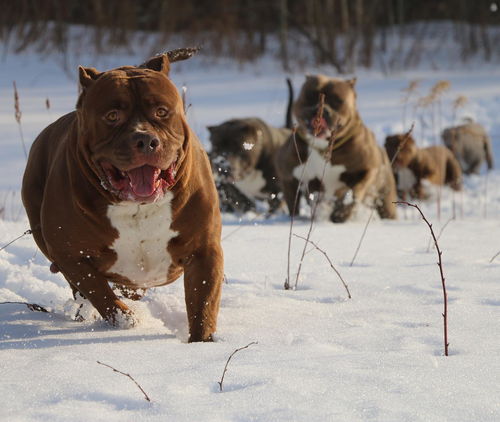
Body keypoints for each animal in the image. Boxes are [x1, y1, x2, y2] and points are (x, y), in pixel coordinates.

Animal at [22, 47, 223, 342]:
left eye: (161, 111)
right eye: (112, 116)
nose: (146, 140)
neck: (137, 207)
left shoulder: (203, 251)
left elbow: (203, 304)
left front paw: (202, 342)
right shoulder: (69, 254)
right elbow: (99, 292)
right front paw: (127, 320)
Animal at [274, 74, 398, 223]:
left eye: (338, 100)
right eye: (310, 95)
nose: (321, 109)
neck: (322, 146)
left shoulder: (367, 170)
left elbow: (355, 192)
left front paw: (342, 213)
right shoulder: (288, 176)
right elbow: (293, 203)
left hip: (386, 197)